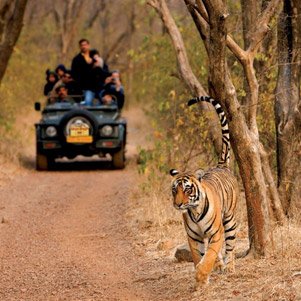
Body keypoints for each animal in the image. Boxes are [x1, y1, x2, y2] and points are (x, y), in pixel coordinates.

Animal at [170, 95, 238, 286]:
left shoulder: (216, 232)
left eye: (187, 190)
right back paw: (220, 265)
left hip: (229, 220)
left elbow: (209, 255)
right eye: (174, 190)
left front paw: (202, 275)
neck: (194, 211)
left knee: (230, 246)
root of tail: (221, 166)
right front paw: (201, 277)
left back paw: (229, 267)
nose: (178, 205)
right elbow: (197, 256)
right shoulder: (193, 237)